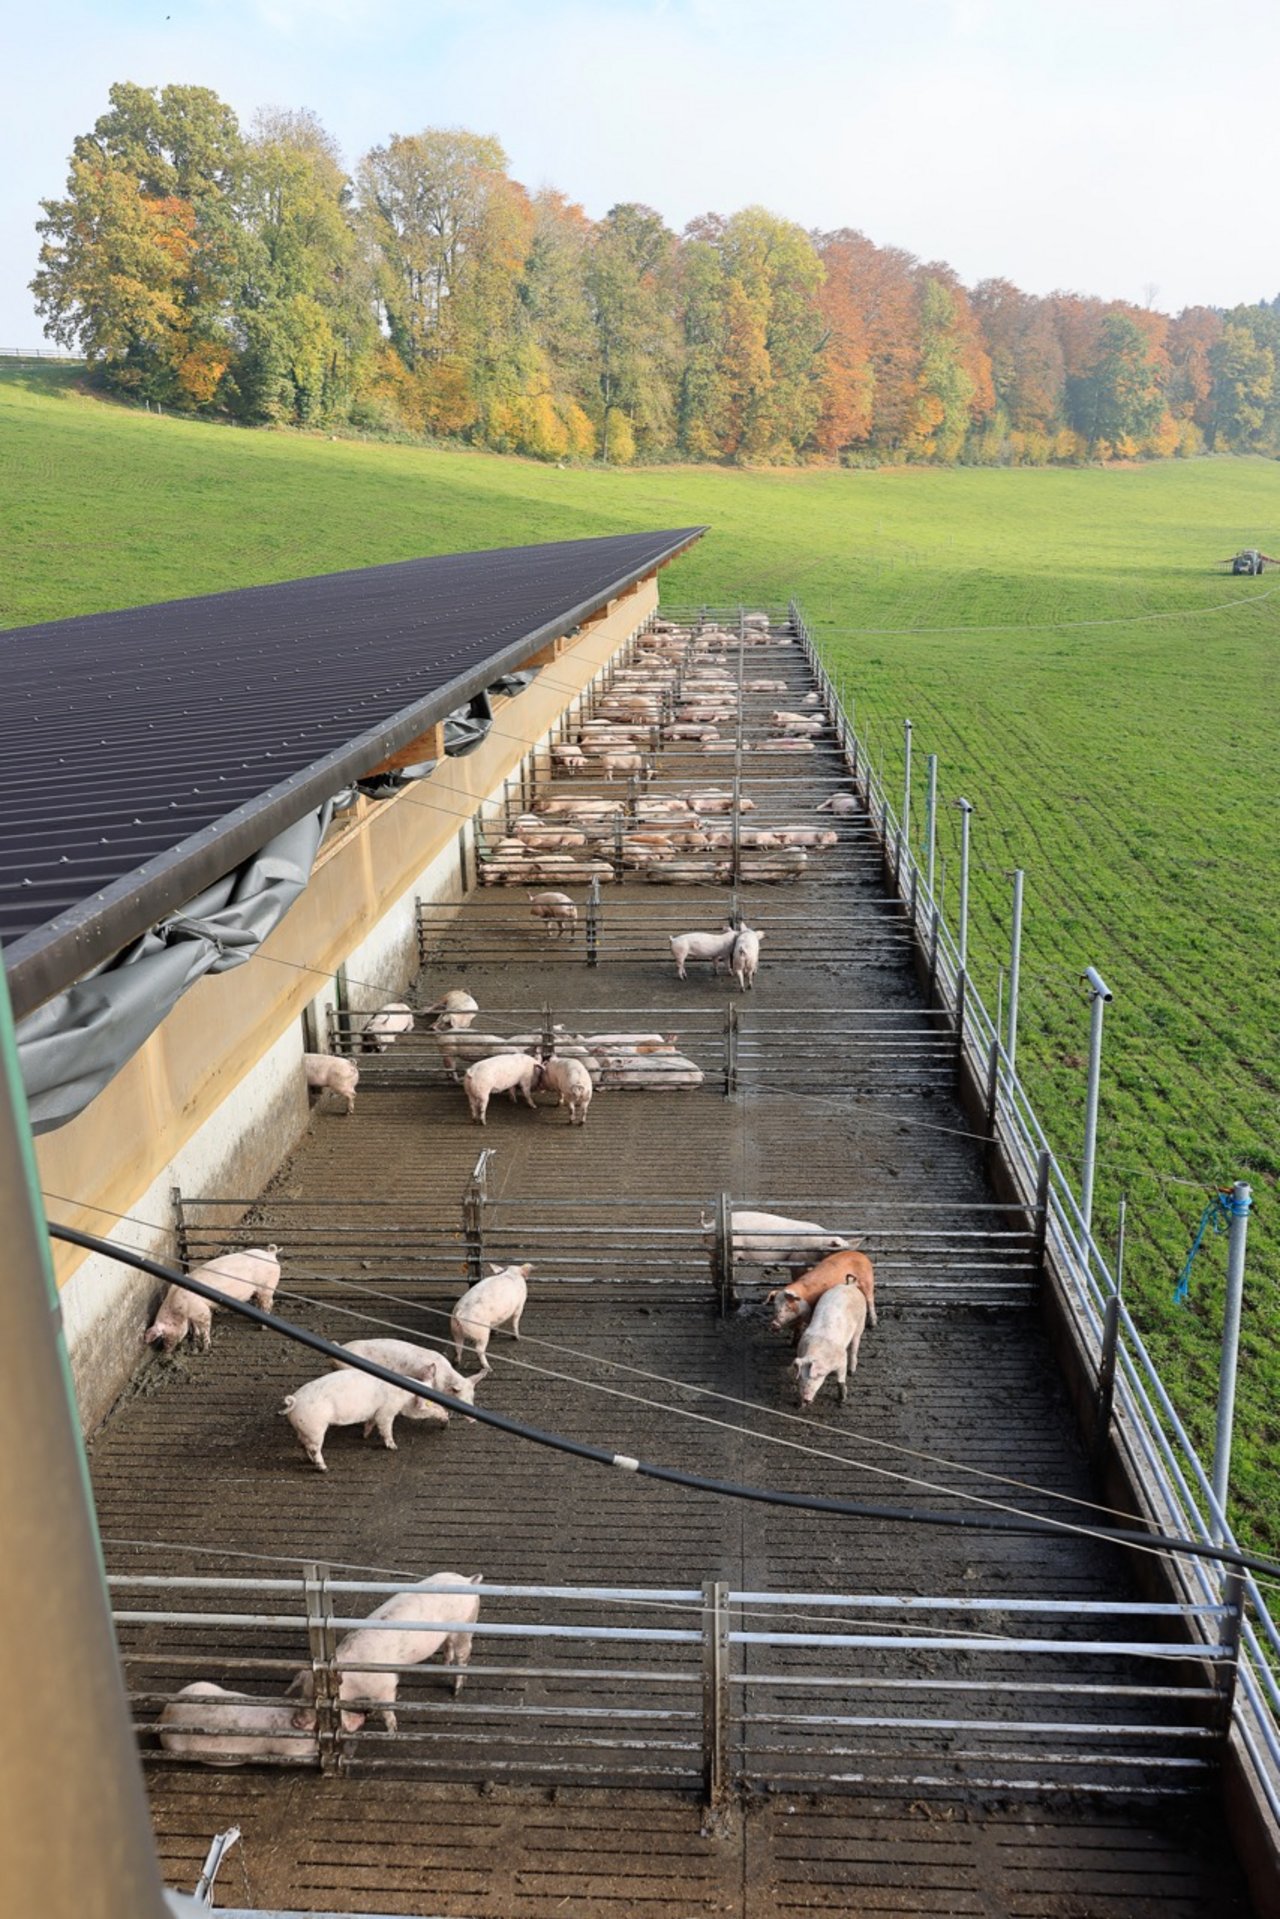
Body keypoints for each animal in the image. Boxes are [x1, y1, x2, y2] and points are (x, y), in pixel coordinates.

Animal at [143, 1243, 282, 1350]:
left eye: (163, 1336)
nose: (165, 1350)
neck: (177, 1306)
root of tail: (270, 1254)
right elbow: (194, 1326)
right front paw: (195, 1336)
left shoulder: (201, 1311)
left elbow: (205, 1327)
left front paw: (205, 1348)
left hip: (267, 1287)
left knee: (268, 1304)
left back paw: (262, 1327)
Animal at [278, 1366, 443, 1466]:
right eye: (429, 1403)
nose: (446, 1414)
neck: (404, 1394)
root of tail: (295, 1402)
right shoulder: (386, 1411)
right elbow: (386, 1428)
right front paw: (394, 1447)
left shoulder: (374, 1412)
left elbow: (370, 1422)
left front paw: (364, 1436)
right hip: (315, 1429)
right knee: (314, 1448)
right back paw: (323, 1468)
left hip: (304, 1429)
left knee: (303, 1445)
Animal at [289, 1573, 485, 1742]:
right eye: (302, 1693)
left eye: (319, 1700)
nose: (296, 1722)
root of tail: (468, 1581)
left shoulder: (385, 1685)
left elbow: (387, 1709)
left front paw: (392, 1732)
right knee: (448, 1647)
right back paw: (445, 1666)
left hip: (465, 1629)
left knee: (463, 1657)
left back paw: (456, 1691)